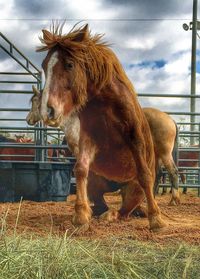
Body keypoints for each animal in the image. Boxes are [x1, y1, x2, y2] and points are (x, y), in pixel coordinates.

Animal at [36, 23, 166, 232]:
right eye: (44, 65)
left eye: (69, 64)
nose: (47, 111)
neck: (105, 102)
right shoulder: (90, 139)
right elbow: (80, 169)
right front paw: (80, 215)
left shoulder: (134, 137)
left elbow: (145, 175)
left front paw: (156, 220)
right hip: (96, 184)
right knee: (103, 204)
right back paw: (97, 213)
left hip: (133, 192)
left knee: (123, 212)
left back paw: (113, 215)